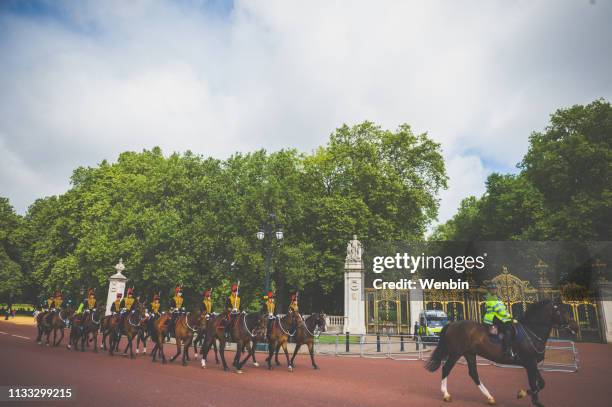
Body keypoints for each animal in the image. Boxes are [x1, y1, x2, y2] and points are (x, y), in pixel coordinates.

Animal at [424, 300, 576, 407]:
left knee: (473, 373)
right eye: (561, 312)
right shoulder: (529, 363)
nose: (574, 326)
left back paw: (489, 397)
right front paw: (524, 395)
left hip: (469, 353)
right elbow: (535, 384)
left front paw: (530, 397)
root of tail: (452, 324)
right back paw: (446, 394)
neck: (532, 332)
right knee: (446, 369)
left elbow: (541, 383)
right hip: (456, 353)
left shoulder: (532, 364)